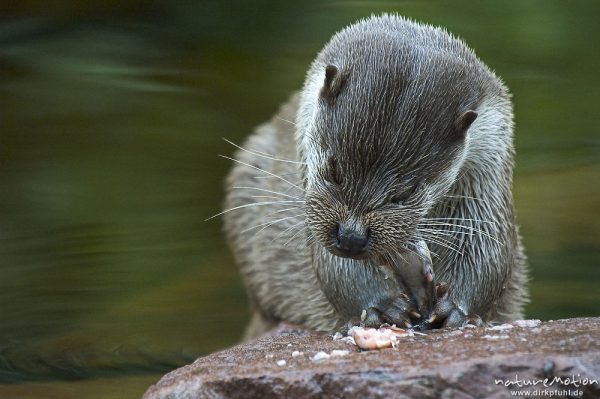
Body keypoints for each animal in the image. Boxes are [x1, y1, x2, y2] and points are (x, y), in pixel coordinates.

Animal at [223, 14, 528, 338]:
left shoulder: (489, 165)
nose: (351, 236)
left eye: (404, 193)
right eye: (334, 169)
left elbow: (487, 250)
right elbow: (335, 266)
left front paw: (455, 308)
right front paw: (382, 306)